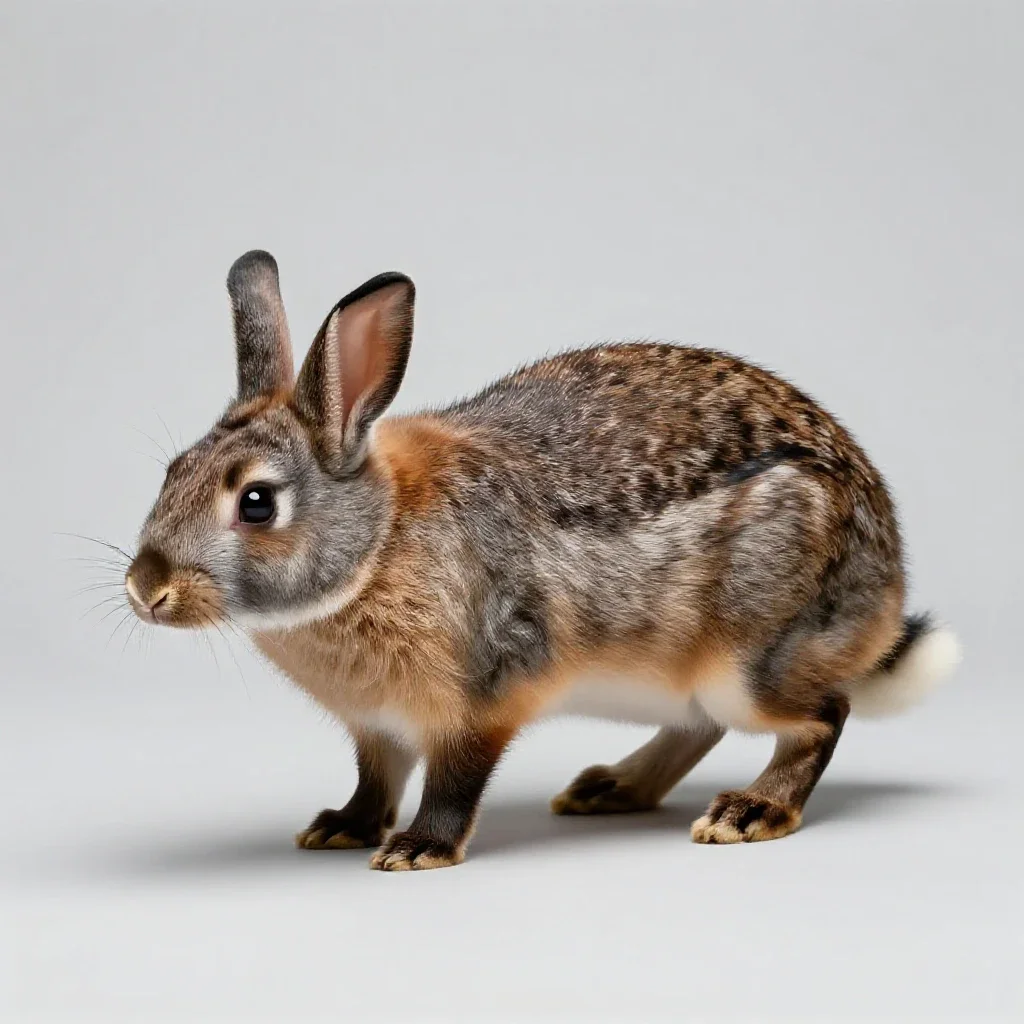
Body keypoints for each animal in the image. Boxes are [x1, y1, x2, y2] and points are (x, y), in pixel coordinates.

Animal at [124, 250, 961, 870]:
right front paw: (342, 827)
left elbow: (454, 781)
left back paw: (749, 812)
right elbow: (374, 775)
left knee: (821, 716)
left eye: (256, 502)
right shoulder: (377, 728)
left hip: (753, 658)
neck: (378, 541)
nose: (144, 589)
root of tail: (885, 589)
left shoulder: (481, 696)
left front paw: (417, 850)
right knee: (700, 729)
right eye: (172, 472)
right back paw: (610, 789)